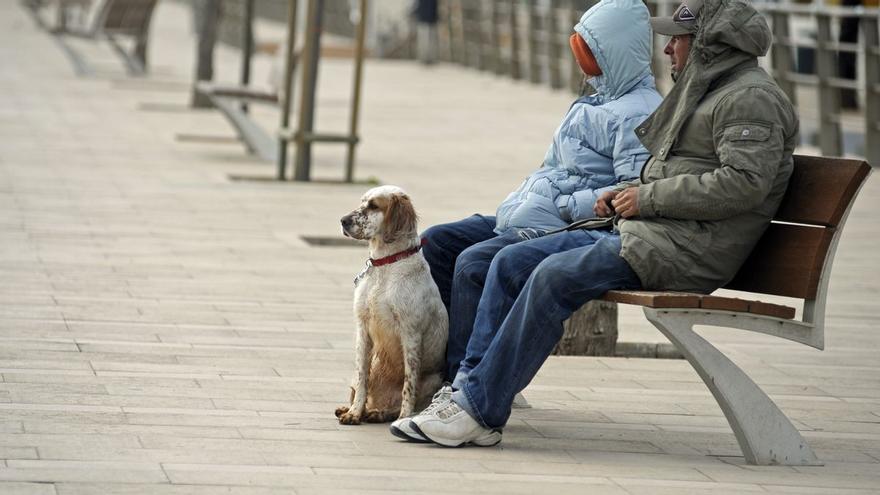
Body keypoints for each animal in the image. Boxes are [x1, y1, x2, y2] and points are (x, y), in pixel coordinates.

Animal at [336, 186, 450, 426]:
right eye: (361, 202)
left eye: (373, 206)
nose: (343, 220)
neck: (385, 266)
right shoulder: (363, 329)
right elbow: (362, 379)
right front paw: (354, 412)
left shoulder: (411, 333)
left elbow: (409, 384)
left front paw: (404, 418)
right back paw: (354, 409)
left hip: (434, 379)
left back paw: (380, 413)